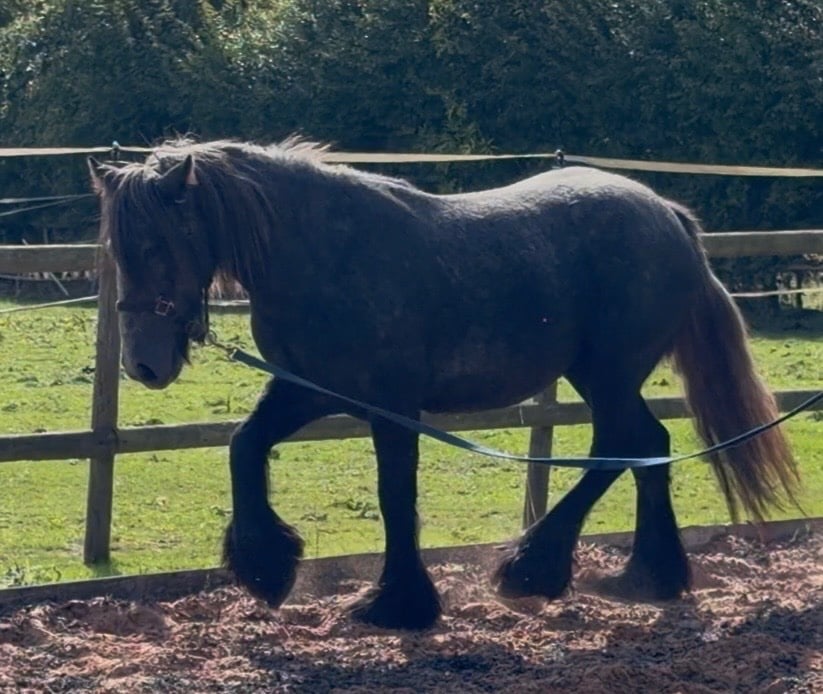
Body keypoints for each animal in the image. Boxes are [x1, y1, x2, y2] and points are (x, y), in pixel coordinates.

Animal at [88, 138, 798, 630]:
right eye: (119, 249)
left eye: (159, 245)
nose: (144, 365)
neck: (324, 255)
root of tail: (669, 215)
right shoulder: (309, 391)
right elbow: (244, 445)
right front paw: (266, 569)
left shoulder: (389, 406)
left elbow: (394, 496)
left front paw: (398, 604)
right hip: (599, 375)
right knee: (644, 447)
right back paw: (647, 576)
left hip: (610, 371)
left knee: (625, 445)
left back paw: (534, 569)